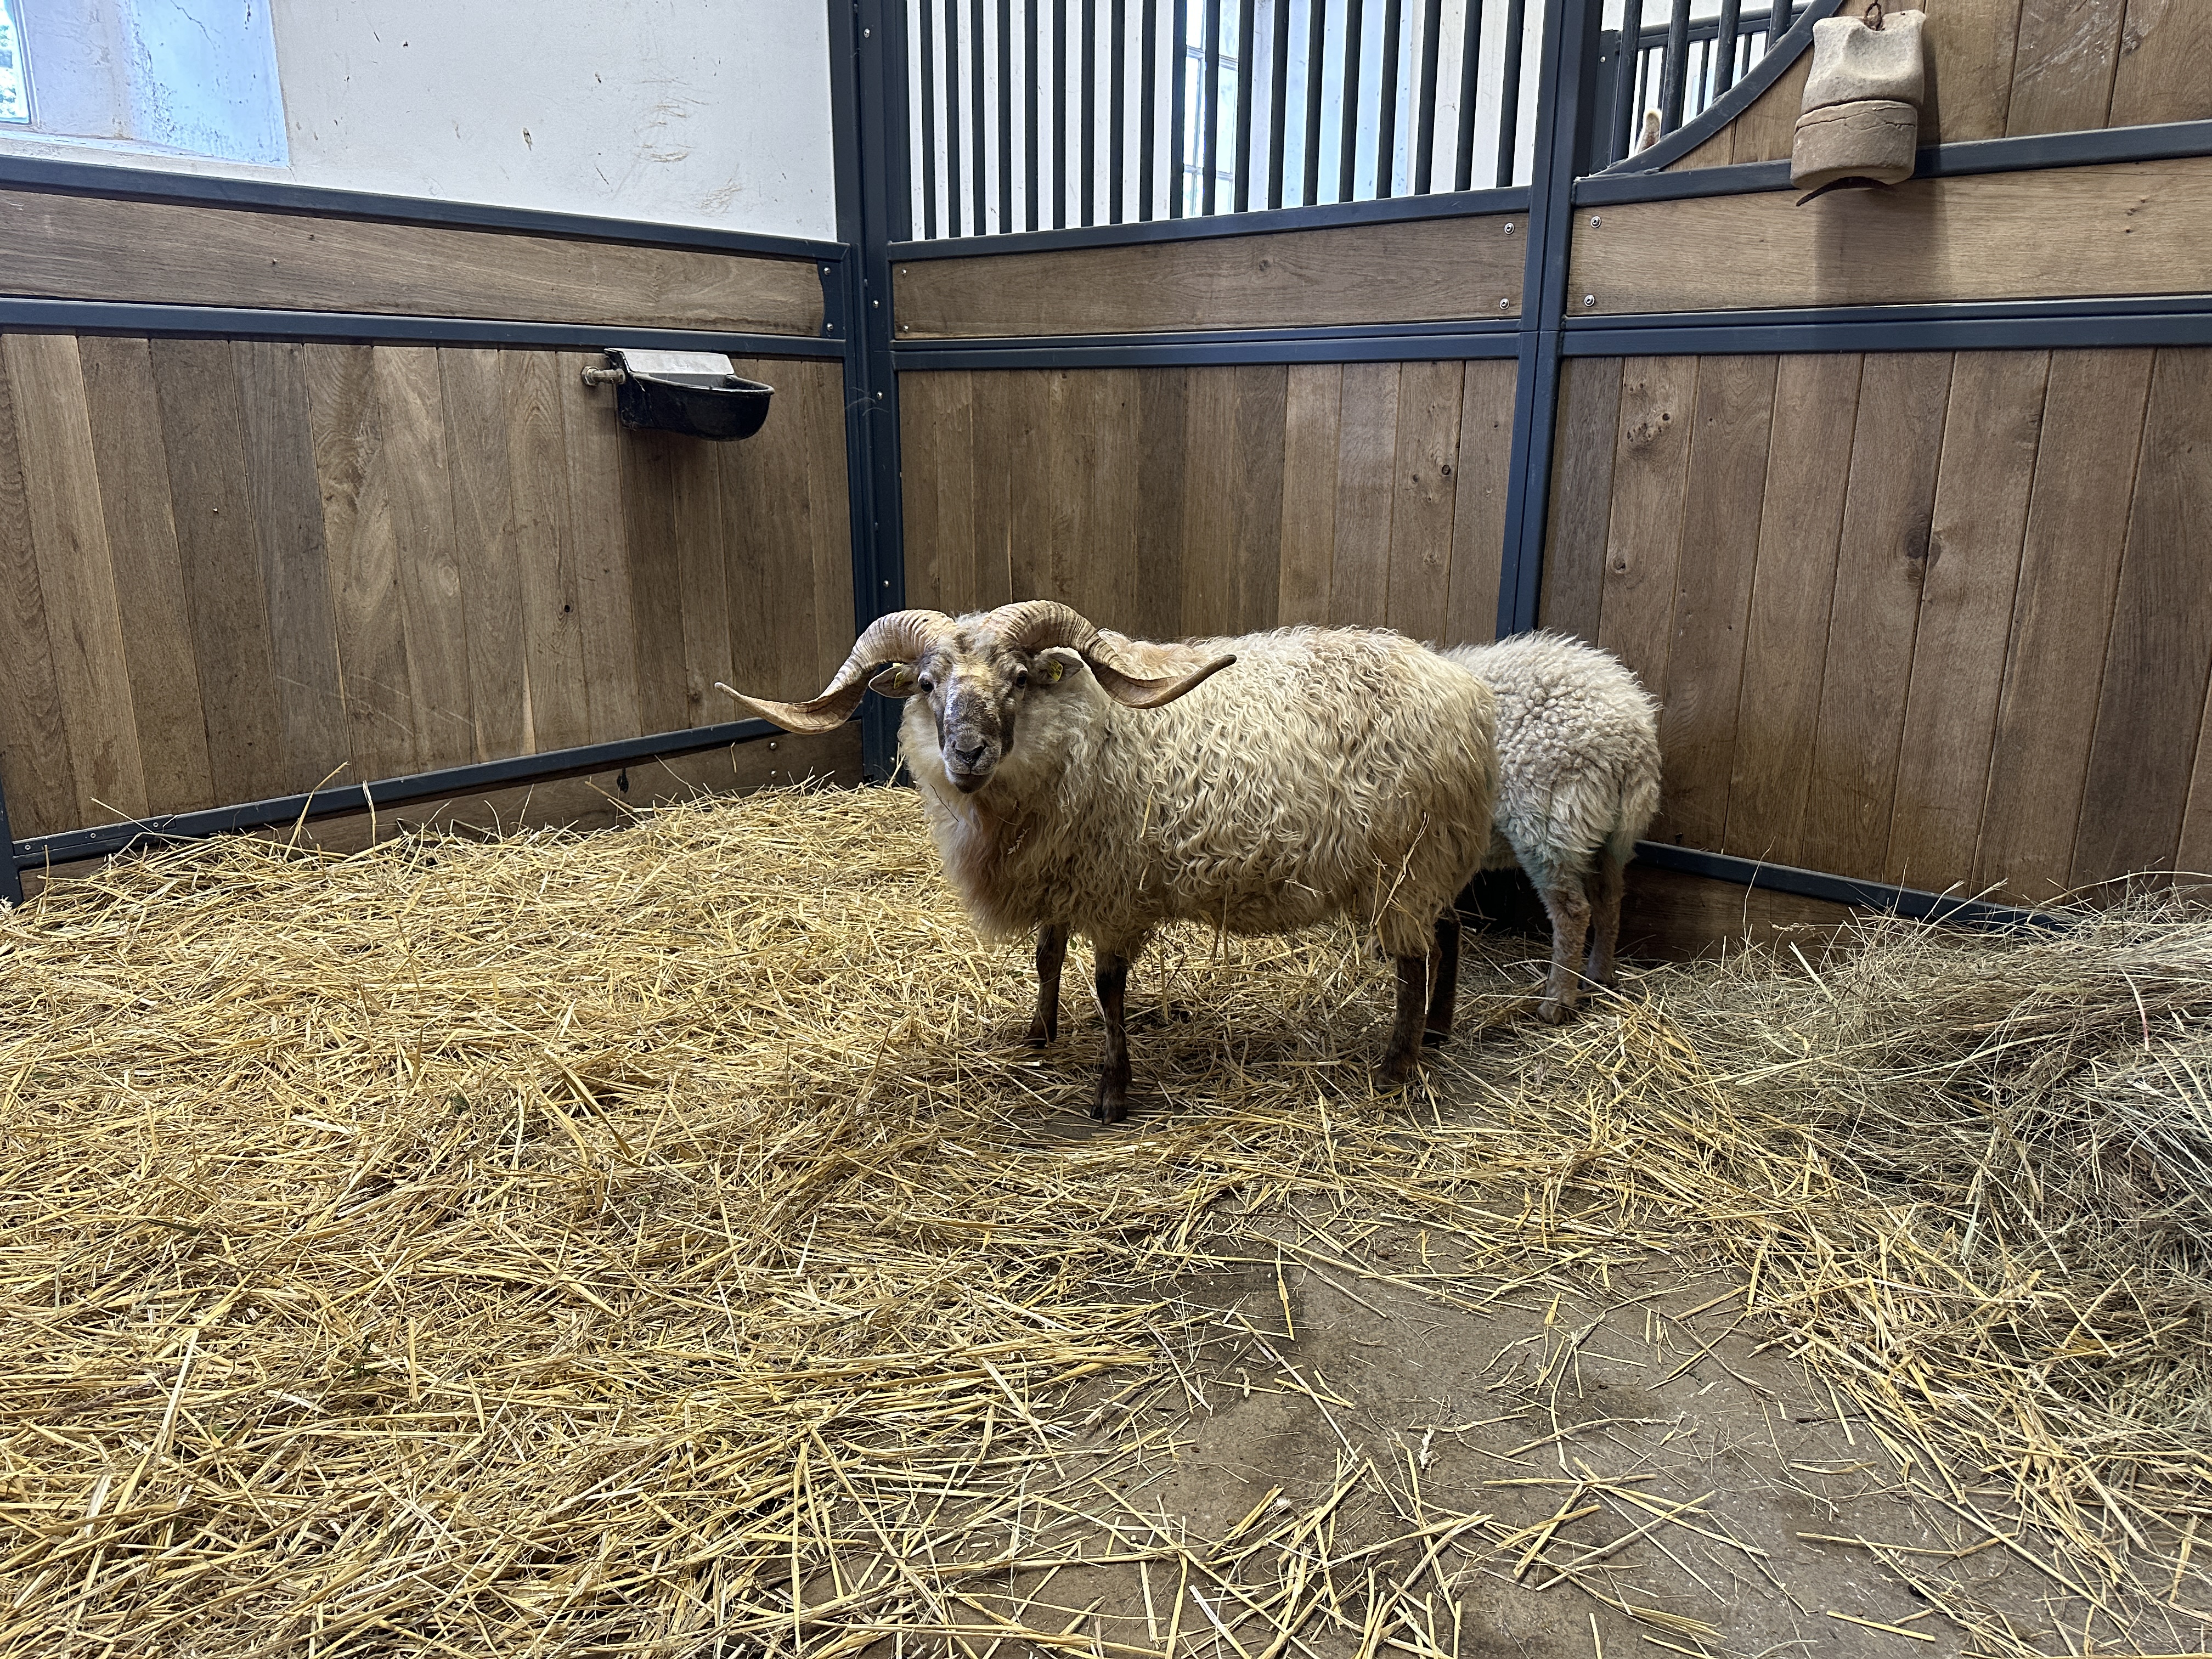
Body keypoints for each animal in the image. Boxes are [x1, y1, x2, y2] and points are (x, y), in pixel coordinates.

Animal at [719, 602, 1500, 1122]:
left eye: (1020, 679)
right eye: (926, 684)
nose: (967, 752)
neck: (1080, 729)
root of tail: (1467, 692)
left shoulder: (1115, 887)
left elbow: (1108, 988)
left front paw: (1112, 1091)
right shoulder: (1061, 875)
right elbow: (1047, 958)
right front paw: (1038, 1036)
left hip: (1405, 861)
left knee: (1412, 961)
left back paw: (1397, 1067)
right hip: (1435, 855)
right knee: (1450, 930)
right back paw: (1438, 1029)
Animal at [1435, 633, 1660, 1023]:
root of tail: (1632, 741)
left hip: (1548, 824)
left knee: (1573, 911)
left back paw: (1557, 1002)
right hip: (1607, 837)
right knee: (1608, 898)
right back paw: (1598, 977)